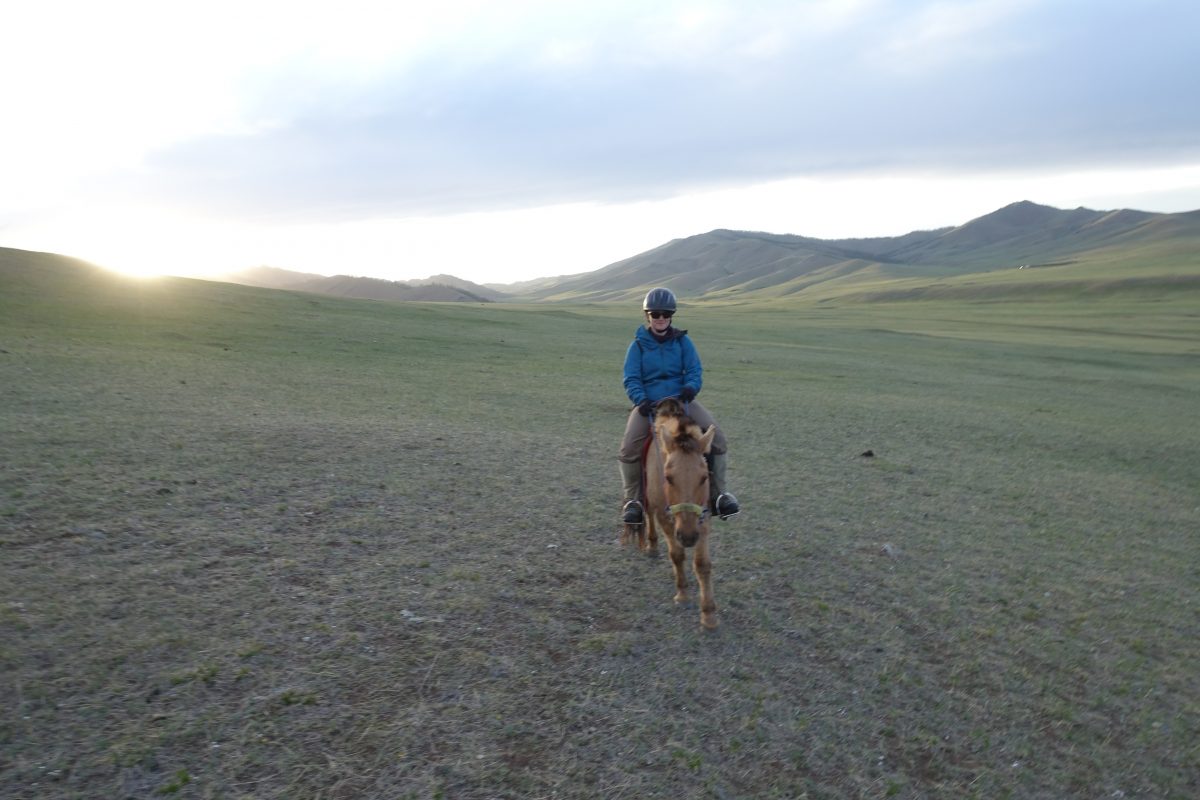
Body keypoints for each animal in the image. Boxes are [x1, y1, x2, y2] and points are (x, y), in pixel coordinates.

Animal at [628, 398, 720, 628]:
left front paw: (709, 615)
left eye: (704, 477)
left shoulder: (702, 519)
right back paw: (652, 546)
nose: (687, 536)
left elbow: (702, 565)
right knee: (649, 513)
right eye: (668, 478)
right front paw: (683, 595)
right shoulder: (665, 517)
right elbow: (677, 555)